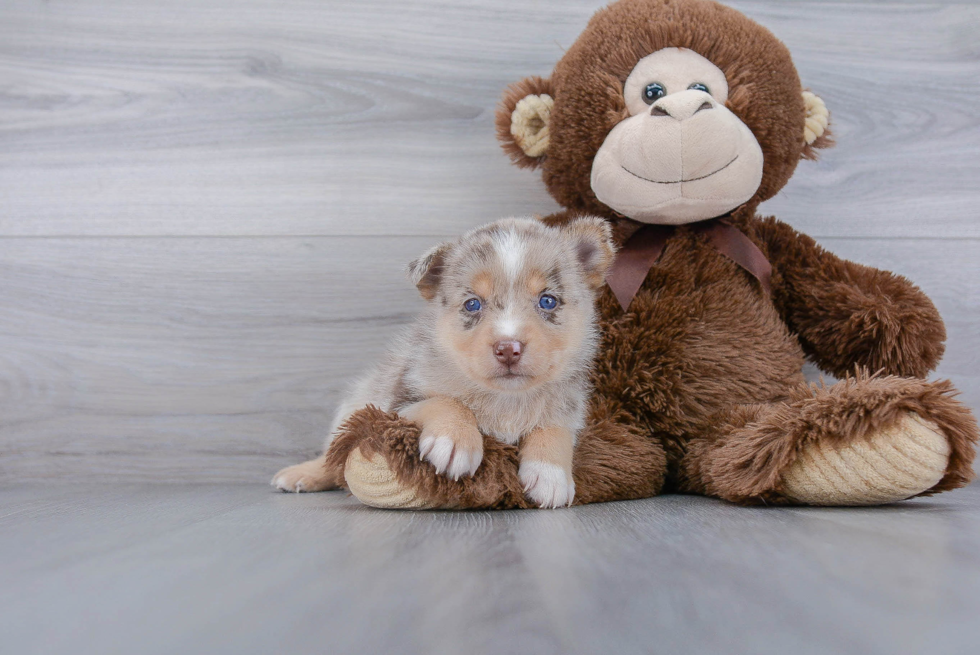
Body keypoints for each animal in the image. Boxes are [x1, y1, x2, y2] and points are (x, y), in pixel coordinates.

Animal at [272, 218, 616, 510]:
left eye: (548, 301)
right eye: (472, 304)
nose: (508, 348)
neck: (505, 399)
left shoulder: (568, 408)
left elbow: (553, 429)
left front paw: (551, 474)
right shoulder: (398, 403)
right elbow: (446, 401)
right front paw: (455, 441)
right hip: (355, 406)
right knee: (332, 456)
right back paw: (301, 474)